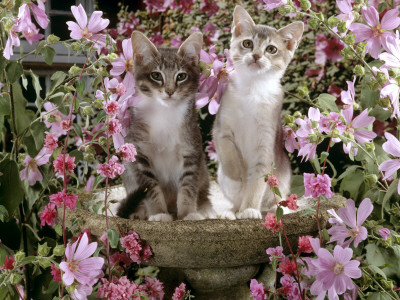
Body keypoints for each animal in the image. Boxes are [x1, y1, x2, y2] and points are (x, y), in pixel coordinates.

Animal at [117, 31, 214, 221]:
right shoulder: (139, 154)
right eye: (156, 75)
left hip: (204, 172)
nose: (169, 91)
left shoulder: (191, 150)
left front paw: (188, 214)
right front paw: (158, 213)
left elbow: (188, 186)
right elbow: (150, 187)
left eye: (181, 76)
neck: (165, 113)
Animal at [212, 5, 304, 219]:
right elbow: (229, 154)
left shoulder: (265, 144)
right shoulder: (221, 129)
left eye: (271, 49)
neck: (252, 90)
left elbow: (256, 182)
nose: (255, 56)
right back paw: (231, 211)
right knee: (234, 200)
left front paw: (249, 209)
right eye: (247, 43)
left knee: (273, 201)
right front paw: (236, 178)